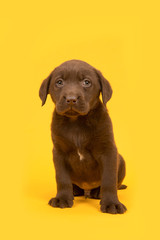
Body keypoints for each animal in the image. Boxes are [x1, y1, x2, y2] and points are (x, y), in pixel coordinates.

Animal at [38, 59, 126, 214]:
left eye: (86, 82)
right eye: (59, 82)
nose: (71, 99)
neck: (76, 122)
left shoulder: (108, 151)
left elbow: (109, 179)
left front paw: (112, 203)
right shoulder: (59, 152)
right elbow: (62, 178)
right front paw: (62, 198)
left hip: (121, 161)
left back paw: (97, 192)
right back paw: (75, 191)